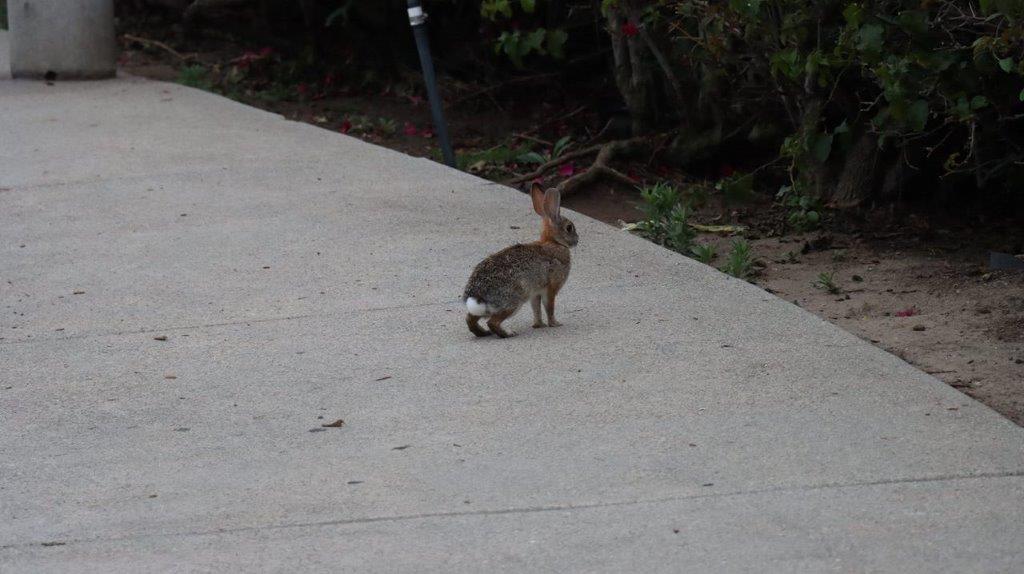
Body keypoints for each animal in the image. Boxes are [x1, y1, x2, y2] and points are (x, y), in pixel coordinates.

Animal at [462, 182, 577, 335]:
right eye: (569, 228)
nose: (577, 240)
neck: (553, 242)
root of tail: (478, 296)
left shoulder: (535, 293)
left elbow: (536, 309)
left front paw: (538, 325)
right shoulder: (551, 288)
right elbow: (549, 307)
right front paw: (555, 324)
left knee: (470, 320)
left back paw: (483, 333)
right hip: (516, 300)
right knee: (492, 322)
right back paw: (508, 333)